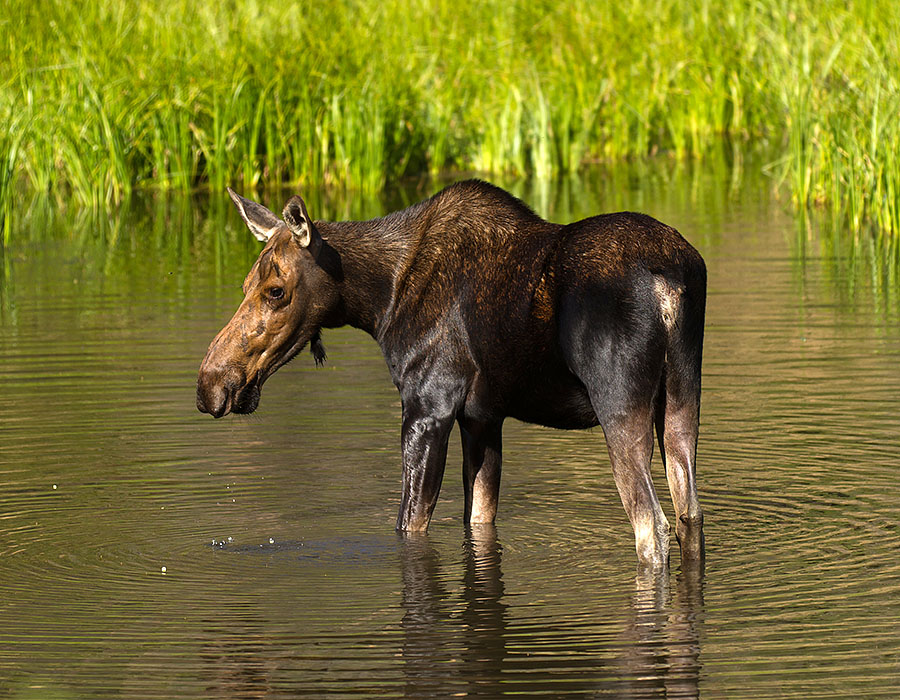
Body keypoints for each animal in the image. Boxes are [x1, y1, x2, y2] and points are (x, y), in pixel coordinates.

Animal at [195, 182, 704, 568]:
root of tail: (669, 278)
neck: (377, 303)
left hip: (619, 405)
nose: (211, 384)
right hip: (681, 401)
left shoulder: (427, 406)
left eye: (276, 290)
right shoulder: (483, 419)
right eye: (245, 285)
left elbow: (410, 525)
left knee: (651, 526)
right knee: (689, 516)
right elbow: (477, 518)